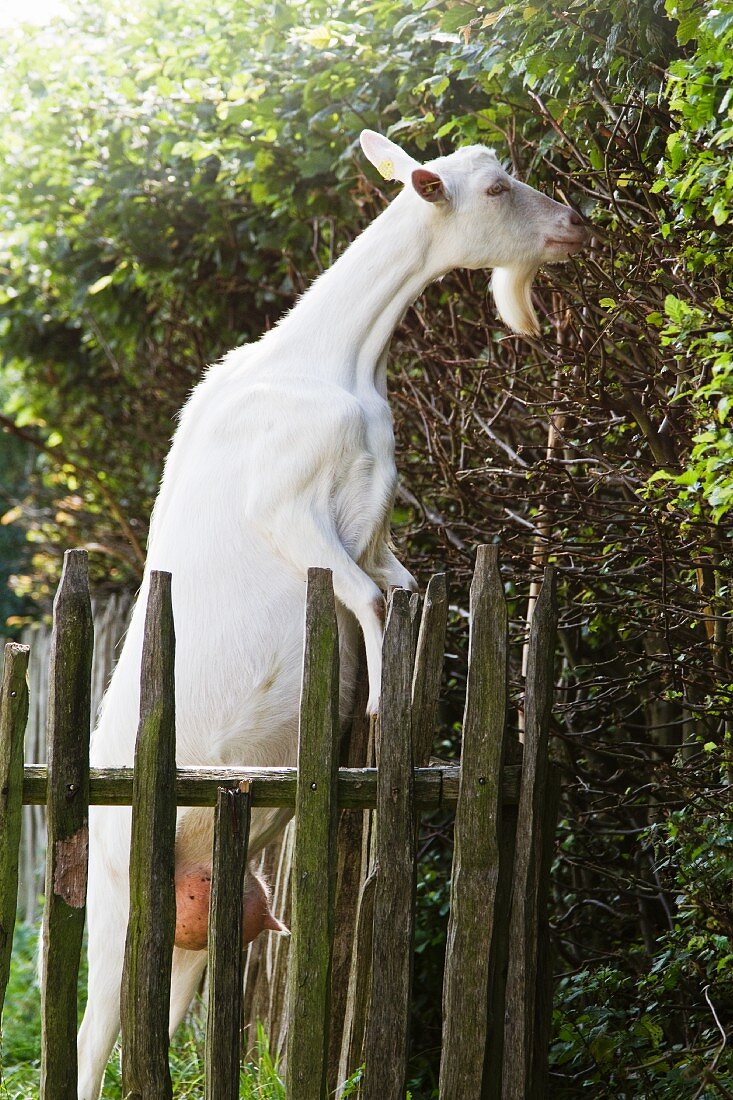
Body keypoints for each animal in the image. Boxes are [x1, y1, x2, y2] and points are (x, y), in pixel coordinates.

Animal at [75, 126, 589, 1091]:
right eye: (497, 189)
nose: (575, 225)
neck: (331, 362)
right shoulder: (290, 509)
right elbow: (366, 602)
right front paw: (387, 713)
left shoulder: (374, 530)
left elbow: (403, 593)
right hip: (117, 889)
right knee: (94, 1030)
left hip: (202, 906)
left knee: (163, 1007)